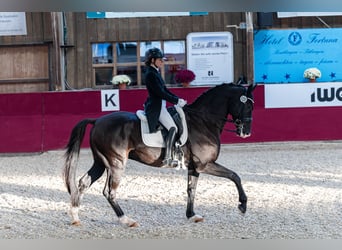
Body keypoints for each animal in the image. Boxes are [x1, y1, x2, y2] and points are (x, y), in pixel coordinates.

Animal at [64, 83, 255, 228]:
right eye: (247, 106)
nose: (246, 132)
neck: (203, 121)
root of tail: (97, 121)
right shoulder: (205, 164)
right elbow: (234, 176)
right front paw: (242, 205)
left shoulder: (194, 167)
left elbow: (191, 189)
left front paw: (192, 215)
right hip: (116, 163)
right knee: (109, 191)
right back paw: (126, 220)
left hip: (100, 163)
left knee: (83, 183)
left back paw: (75, 217)